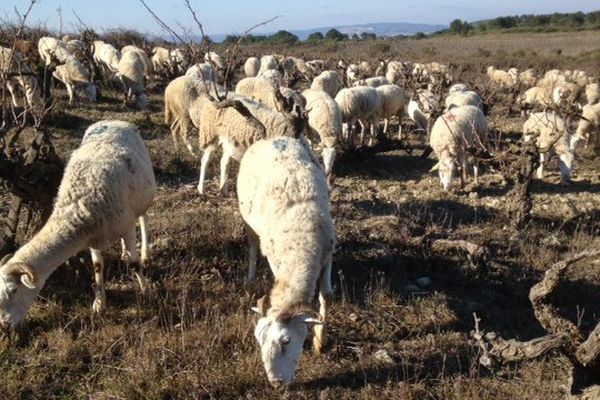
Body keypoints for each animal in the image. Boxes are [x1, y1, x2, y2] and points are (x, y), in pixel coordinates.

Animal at [0, 119, 157, 328]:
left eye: (13, 290)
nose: (4, 326)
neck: (77, 207)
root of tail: (113, 120)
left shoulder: (126, 228)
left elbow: (133, 264)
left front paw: (146, 291)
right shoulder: (95, 236)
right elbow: (98, 266)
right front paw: (99, 304)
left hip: (142, 200)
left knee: (143, 219)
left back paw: (145, 254)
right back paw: (124, 251)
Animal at [237, 135, 336, 388]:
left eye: (286, 341)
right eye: (258, 340)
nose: (277, 384)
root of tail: (272, 138)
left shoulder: (328, 253)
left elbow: (326, 296)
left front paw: (321, 342)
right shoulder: (276, 258)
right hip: (248, 222)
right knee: (253, 246)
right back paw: (249, 280)